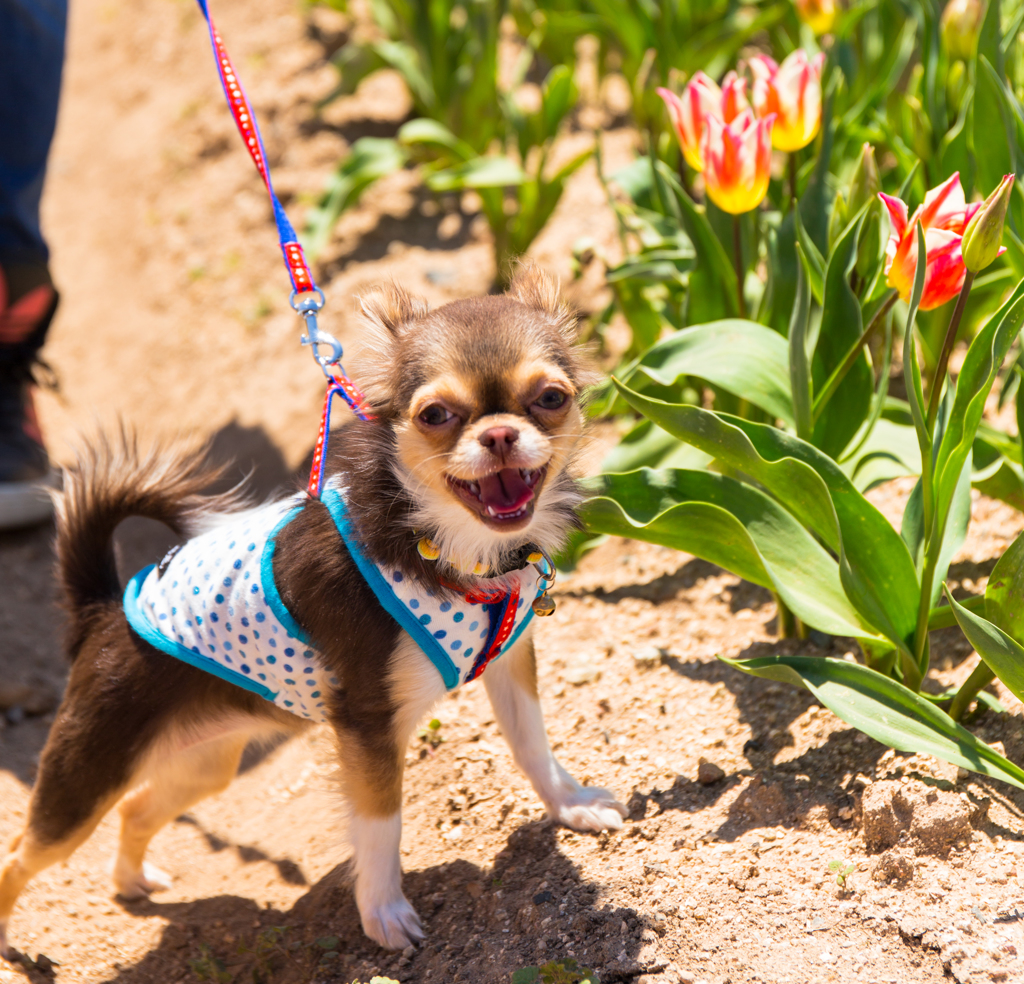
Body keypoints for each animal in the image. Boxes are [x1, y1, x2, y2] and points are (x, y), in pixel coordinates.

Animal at [0, 266, 622, 950]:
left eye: (551, 398)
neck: (447, 544)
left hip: (205, 761)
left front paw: (570, 804)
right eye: (435, 414)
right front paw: (384, 913)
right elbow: (381, 821)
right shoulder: (366, 724)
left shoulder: (512, 667)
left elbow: (532, 744)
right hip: (84, 779)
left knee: (137, 808)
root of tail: (104, 611)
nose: (501, 433)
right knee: (21, 853)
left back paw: (132, 881)